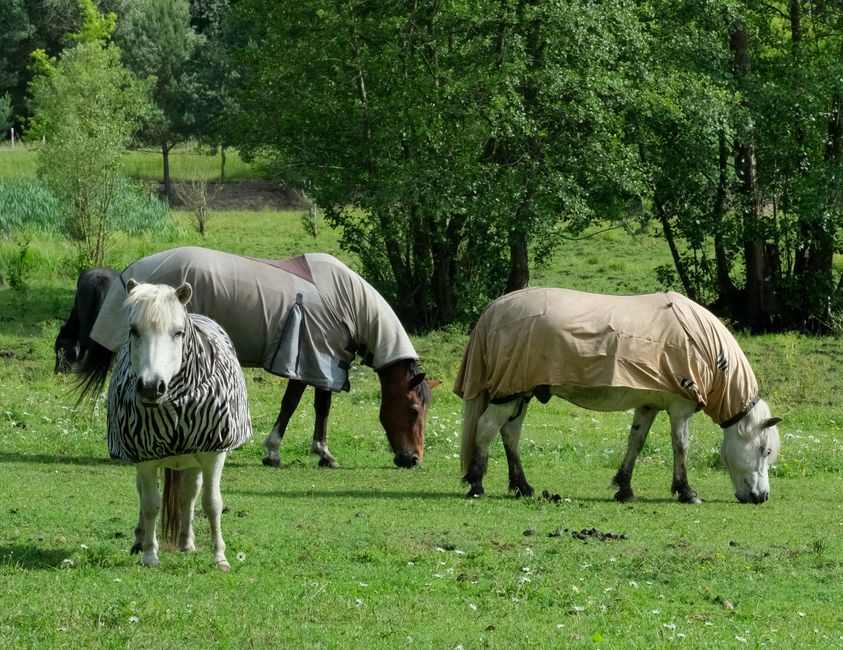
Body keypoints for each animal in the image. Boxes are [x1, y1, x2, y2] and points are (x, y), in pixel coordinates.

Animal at [77, 246, 436, 469]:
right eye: (413, 410)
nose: (413, 459)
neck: (346, 301)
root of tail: (131, 274)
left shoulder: (325, 362)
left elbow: (319, 407)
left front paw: (320, 453)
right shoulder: (311, 359)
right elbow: (295, 405)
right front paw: (279, 452)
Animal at [97, 280, 252, 570]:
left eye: (178, 333)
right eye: (134, 331)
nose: (150, 387)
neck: (177, 402)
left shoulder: (213, 452)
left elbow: (212, 503)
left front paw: (220, 557)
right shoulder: (144, 455)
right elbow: (150, 504)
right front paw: (149, 554)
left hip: (193, 462)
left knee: (189, 495)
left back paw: (187, 542)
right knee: (145, 494)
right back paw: (140, 540)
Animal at [454, 287, 782, 504]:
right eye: (764, 450)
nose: (761, 497)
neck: (705, 348)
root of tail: (494, 309)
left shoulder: (648, 405)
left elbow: (636, 442)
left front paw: (624, 489)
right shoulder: (680, 408)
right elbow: (681, 446)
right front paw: (686, 492)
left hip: (521, 394)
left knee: (510, 434)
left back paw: (522, 487)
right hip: (510, 394)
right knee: (486, 430)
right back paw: (477, 485)